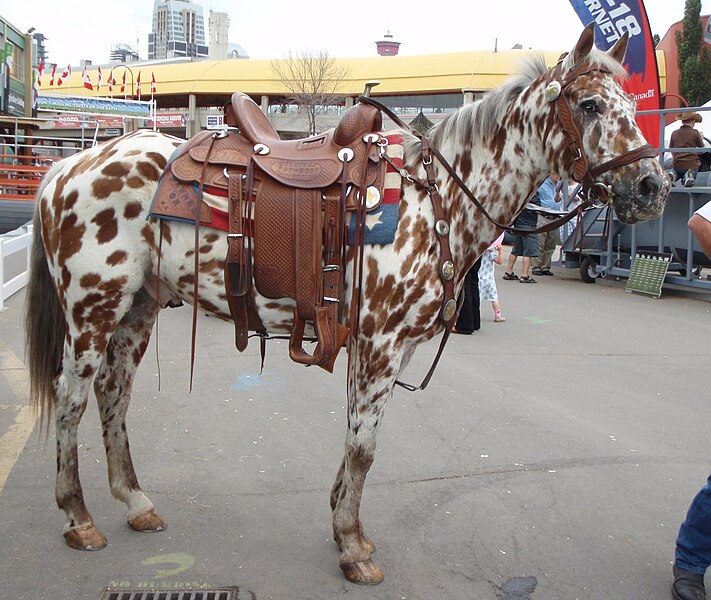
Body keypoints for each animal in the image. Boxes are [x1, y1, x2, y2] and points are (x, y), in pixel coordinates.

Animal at [26, 25, 672, 584]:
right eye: (589, 105)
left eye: (630, 103)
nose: (652, 187)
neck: (433, 202)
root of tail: (67, 166)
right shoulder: (380, 345)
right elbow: (364, 447)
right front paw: (354, 546)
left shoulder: (385, 349)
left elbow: (355, 440)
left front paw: (344, 527)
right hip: (91, 311)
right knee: (71, 400)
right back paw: (78, 517)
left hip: (137, 309)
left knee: (114, 394)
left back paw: (135, 502)